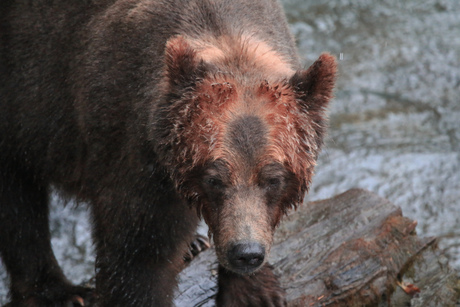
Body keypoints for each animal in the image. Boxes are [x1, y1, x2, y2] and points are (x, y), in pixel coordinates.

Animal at [0, 0, 338, 306]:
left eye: (273, 179)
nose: (245, 253)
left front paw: (254, 292)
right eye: (213, 179)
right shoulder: (138, 156)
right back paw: (60, 293)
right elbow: (139, 258)